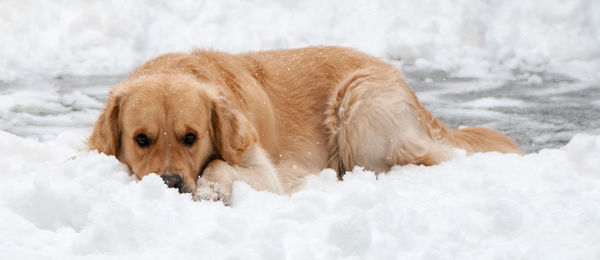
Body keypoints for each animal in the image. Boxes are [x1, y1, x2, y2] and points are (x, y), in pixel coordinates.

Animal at [89, 46, 520, 201]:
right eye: (141, 139)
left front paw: (210, 189)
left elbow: (219, 166)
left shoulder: (263, 170)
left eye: (191, 137)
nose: (170, 182)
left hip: (357, 105)